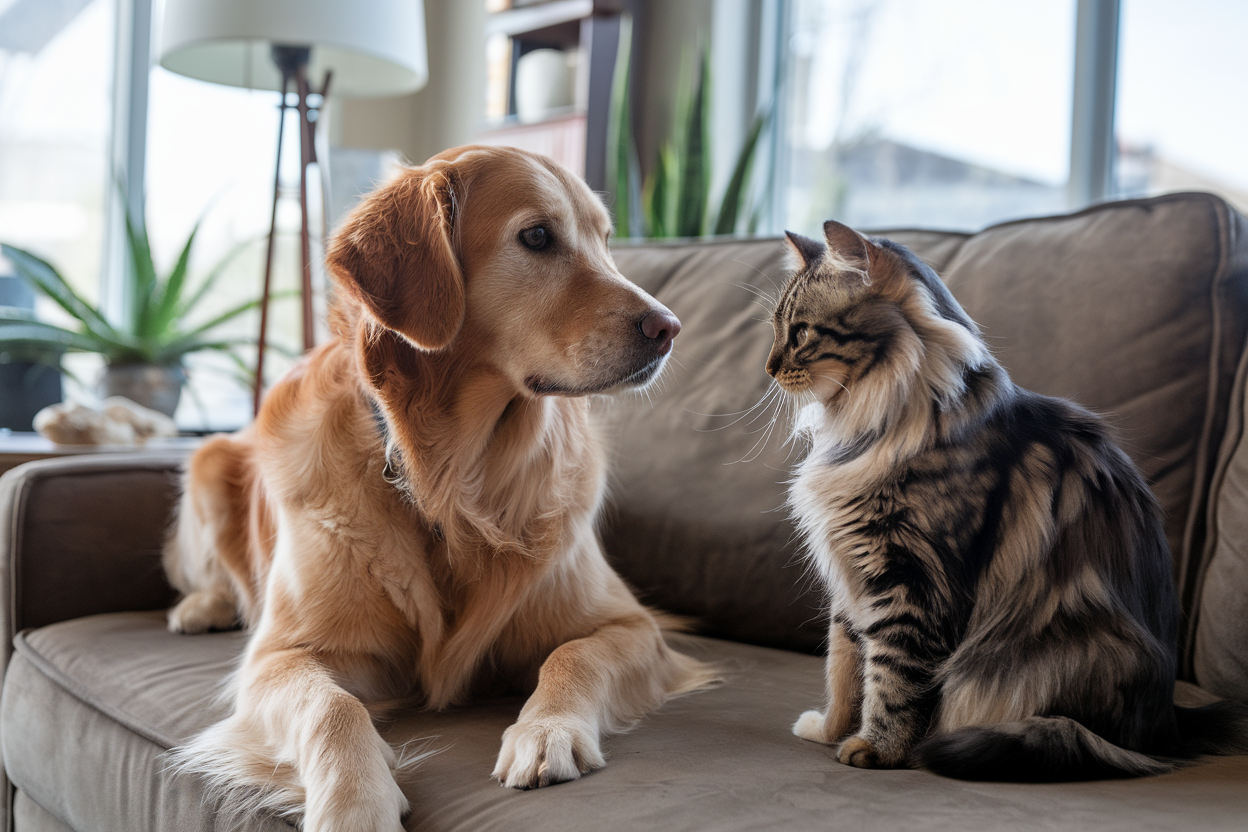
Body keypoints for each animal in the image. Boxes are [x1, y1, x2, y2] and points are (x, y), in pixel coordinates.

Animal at [160, 146, 718, 828]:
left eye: (607, 241)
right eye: (537, 236)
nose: (670, 328)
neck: (454, 483)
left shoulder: (632, 626)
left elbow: (573, 656)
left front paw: (548, 731)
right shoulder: (279, 657)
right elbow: (333, 705)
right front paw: (354, 803)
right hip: (208, 462)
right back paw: (201, 607)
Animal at [768, 220, 1248, 783]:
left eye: (802, 333)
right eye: (776, 329)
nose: (769, 367)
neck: (866, 422)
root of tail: (1170, 725)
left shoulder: (910, 580)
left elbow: (891, 677)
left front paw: (876, 749)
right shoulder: (852, 578)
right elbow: (844, 666)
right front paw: (829, 730)